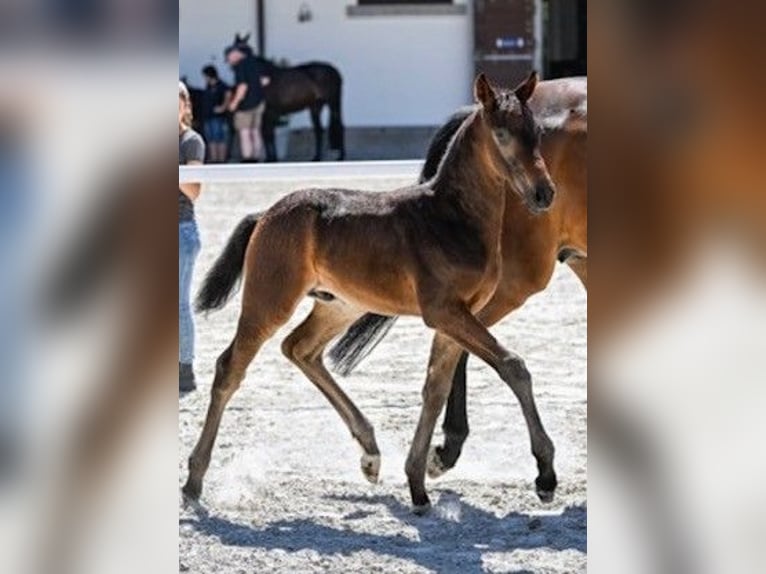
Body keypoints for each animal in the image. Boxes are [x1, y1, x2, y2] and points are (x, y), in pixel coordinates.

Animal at [182, 72, 559, 512]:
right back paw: (193, 482)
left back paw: (371, 453)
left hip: (340, 305)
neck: (451, 217)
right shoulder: (444, 311)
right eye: (501, 133)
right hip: (269, 300)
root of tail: (266, 214)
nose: (544, 193)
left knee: (300, 349)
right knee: (231, 367)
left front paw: (417, 483)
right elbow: (513, 366)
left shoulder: (455, 317)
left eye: (536, 132)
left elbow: (435, 387)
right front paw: (545, 475)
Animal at [232, 34, 345, 162]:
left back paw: (341, 157)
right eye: (238, 47)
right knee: (319, 130)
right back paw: (316, 157)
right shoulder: (264, 114)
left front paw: (273, 158)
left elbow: (269, 134)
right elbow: (266, 134)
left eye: (249, 49)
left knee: (339, 126)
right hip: (316, 107)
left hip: (333, 103)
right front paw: (270, 158)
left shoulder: (270, 113)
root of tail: (335, 71)